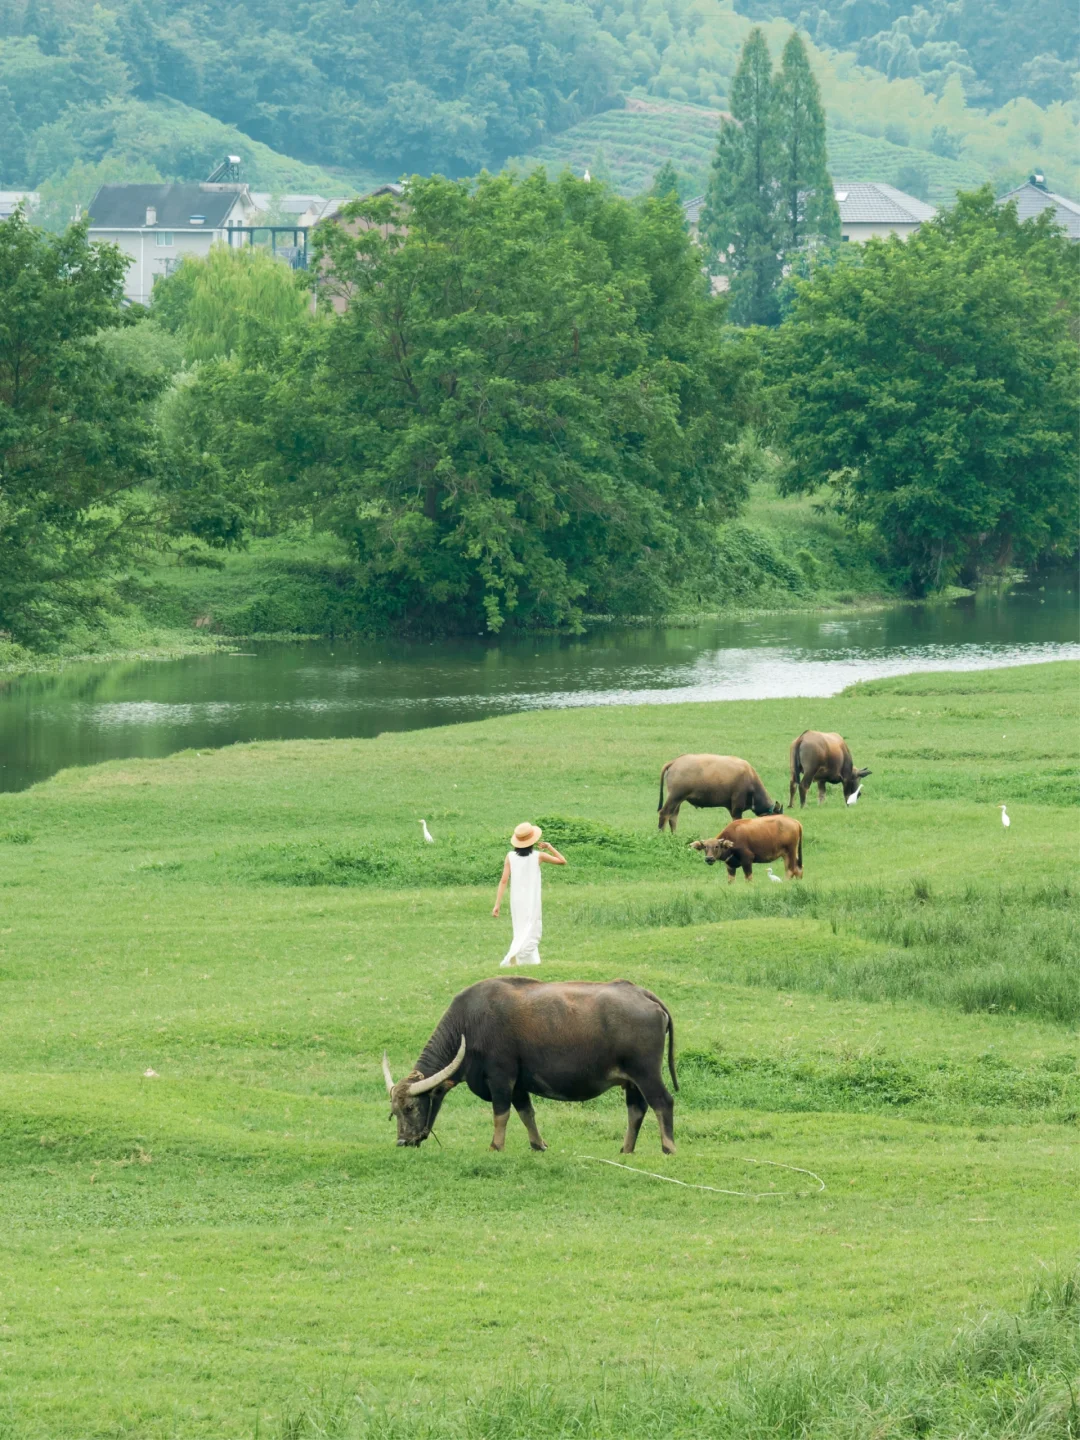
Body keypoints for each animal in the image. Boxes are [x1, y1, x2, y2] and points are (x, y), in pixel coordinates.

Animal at [385, 973, 679, 1152]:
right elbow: (527, 1113)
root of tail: (643, 994)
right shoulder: (518, 1085)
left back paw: (668, 1148)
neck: (469, 1024)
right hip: (632, 1081)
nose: (402, 1141)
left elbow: (501, 1115)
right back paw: (626, 1150)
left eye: (411, 1107)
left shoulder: (501, 1079)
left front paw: (496, 1146)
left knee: (662, 1103)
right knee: (636, 1110)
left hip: (646, 1073)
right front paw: (538, 1145)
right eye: (394, 1111)